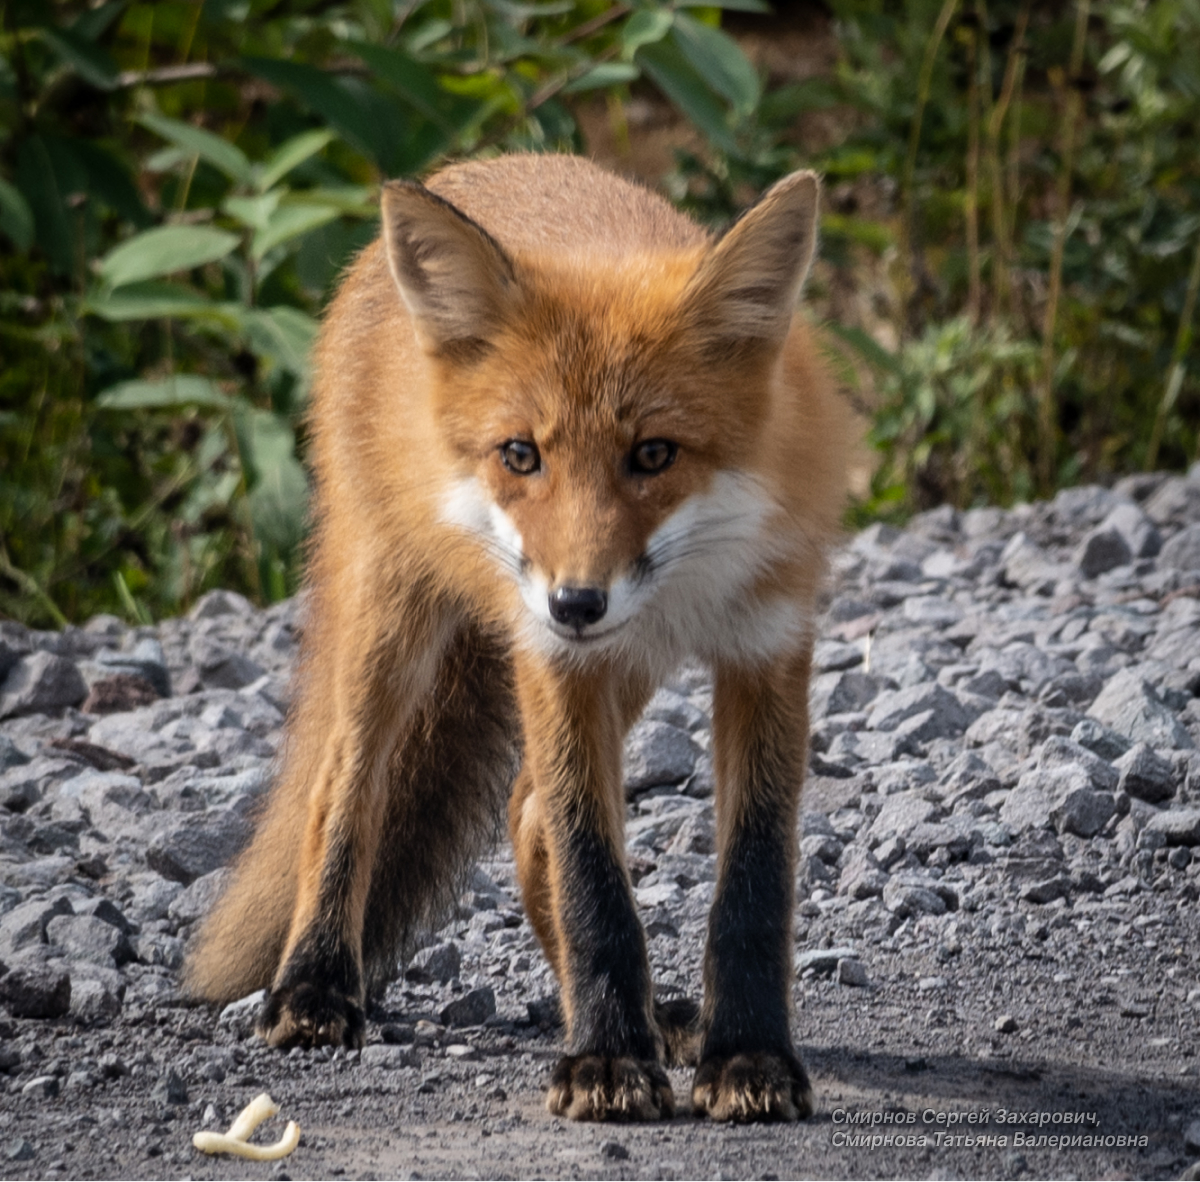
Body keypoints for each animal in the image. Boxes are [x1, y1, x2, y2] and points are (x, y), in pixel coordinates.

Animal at [182, 152, 849, 1123]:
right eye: (521, 454)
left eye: (654, 454)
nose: (575, 601)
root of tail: (483, 163)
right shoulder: (555, 663)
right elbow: (592, 878)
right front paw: (607, 1058)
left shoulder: (768, 640)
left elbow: (753, 884)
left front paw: (745, 1056)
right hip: (393, 611)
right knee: (346, 786)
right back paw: (315, 984)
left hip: (622, 667)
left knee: (525, 808)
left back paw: (643, 1012)